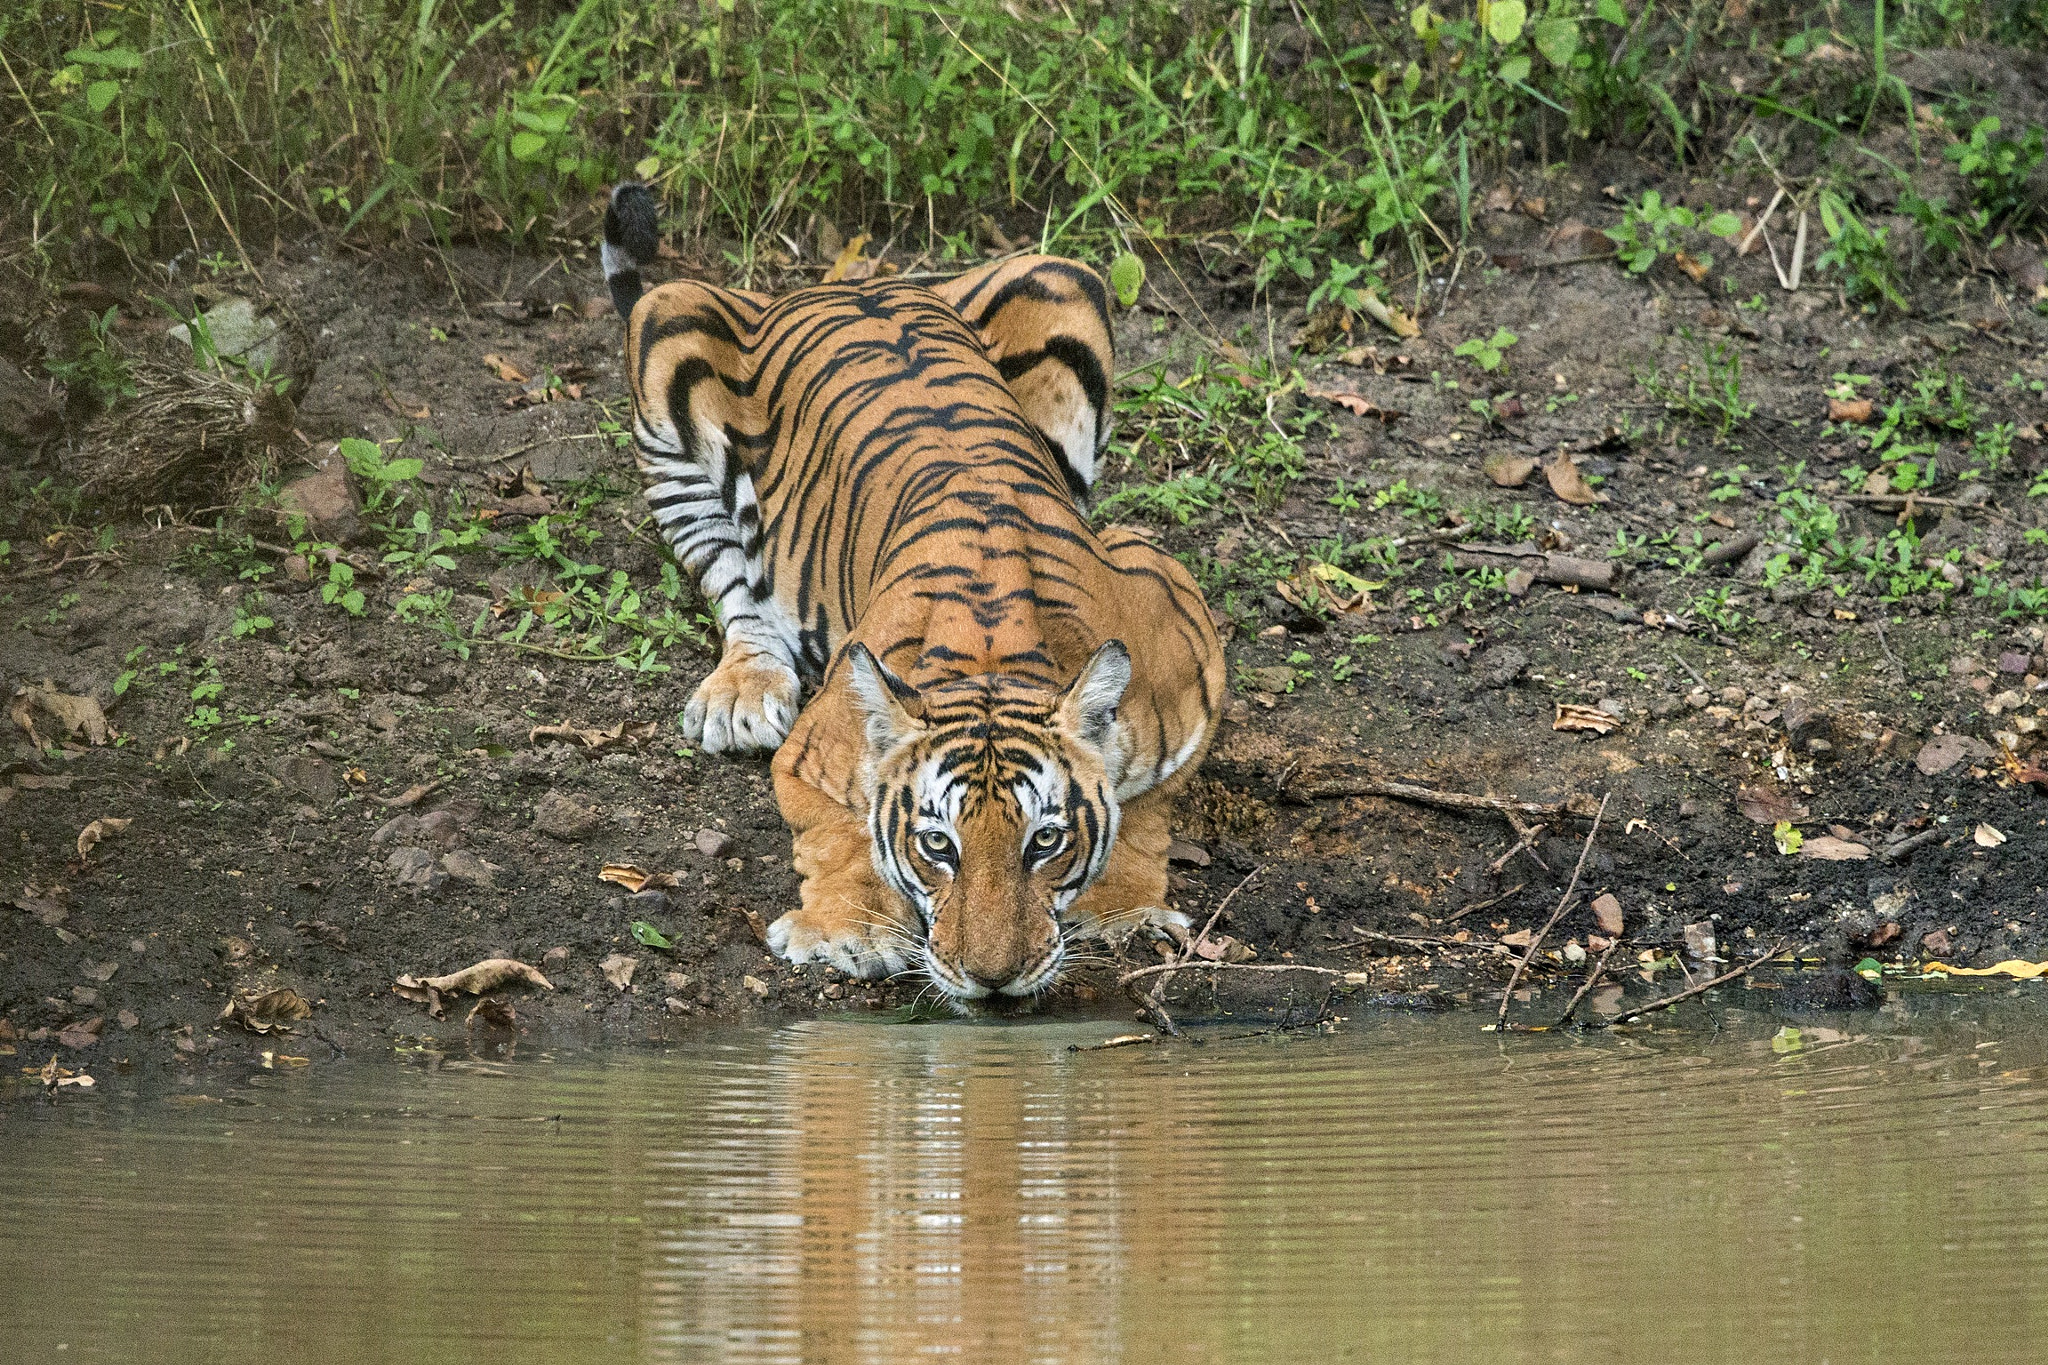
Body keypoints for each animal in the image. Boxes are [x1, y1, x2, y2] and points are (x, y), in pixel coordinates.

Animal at [598, 184, 1220, 1002]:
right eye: (938, 843)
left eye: (1045, 840)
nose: (994, 978)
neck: (994, 655)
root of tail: (841, 282)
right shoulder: (815, 752)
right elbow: (841, 837)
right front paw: (849, 930)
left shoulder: (1184, 635)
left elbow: (1148, 808)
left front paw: (1126, 911)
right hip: (667, 334)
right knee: (733, 582)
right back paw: (740, 694)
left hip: (1060, 278)